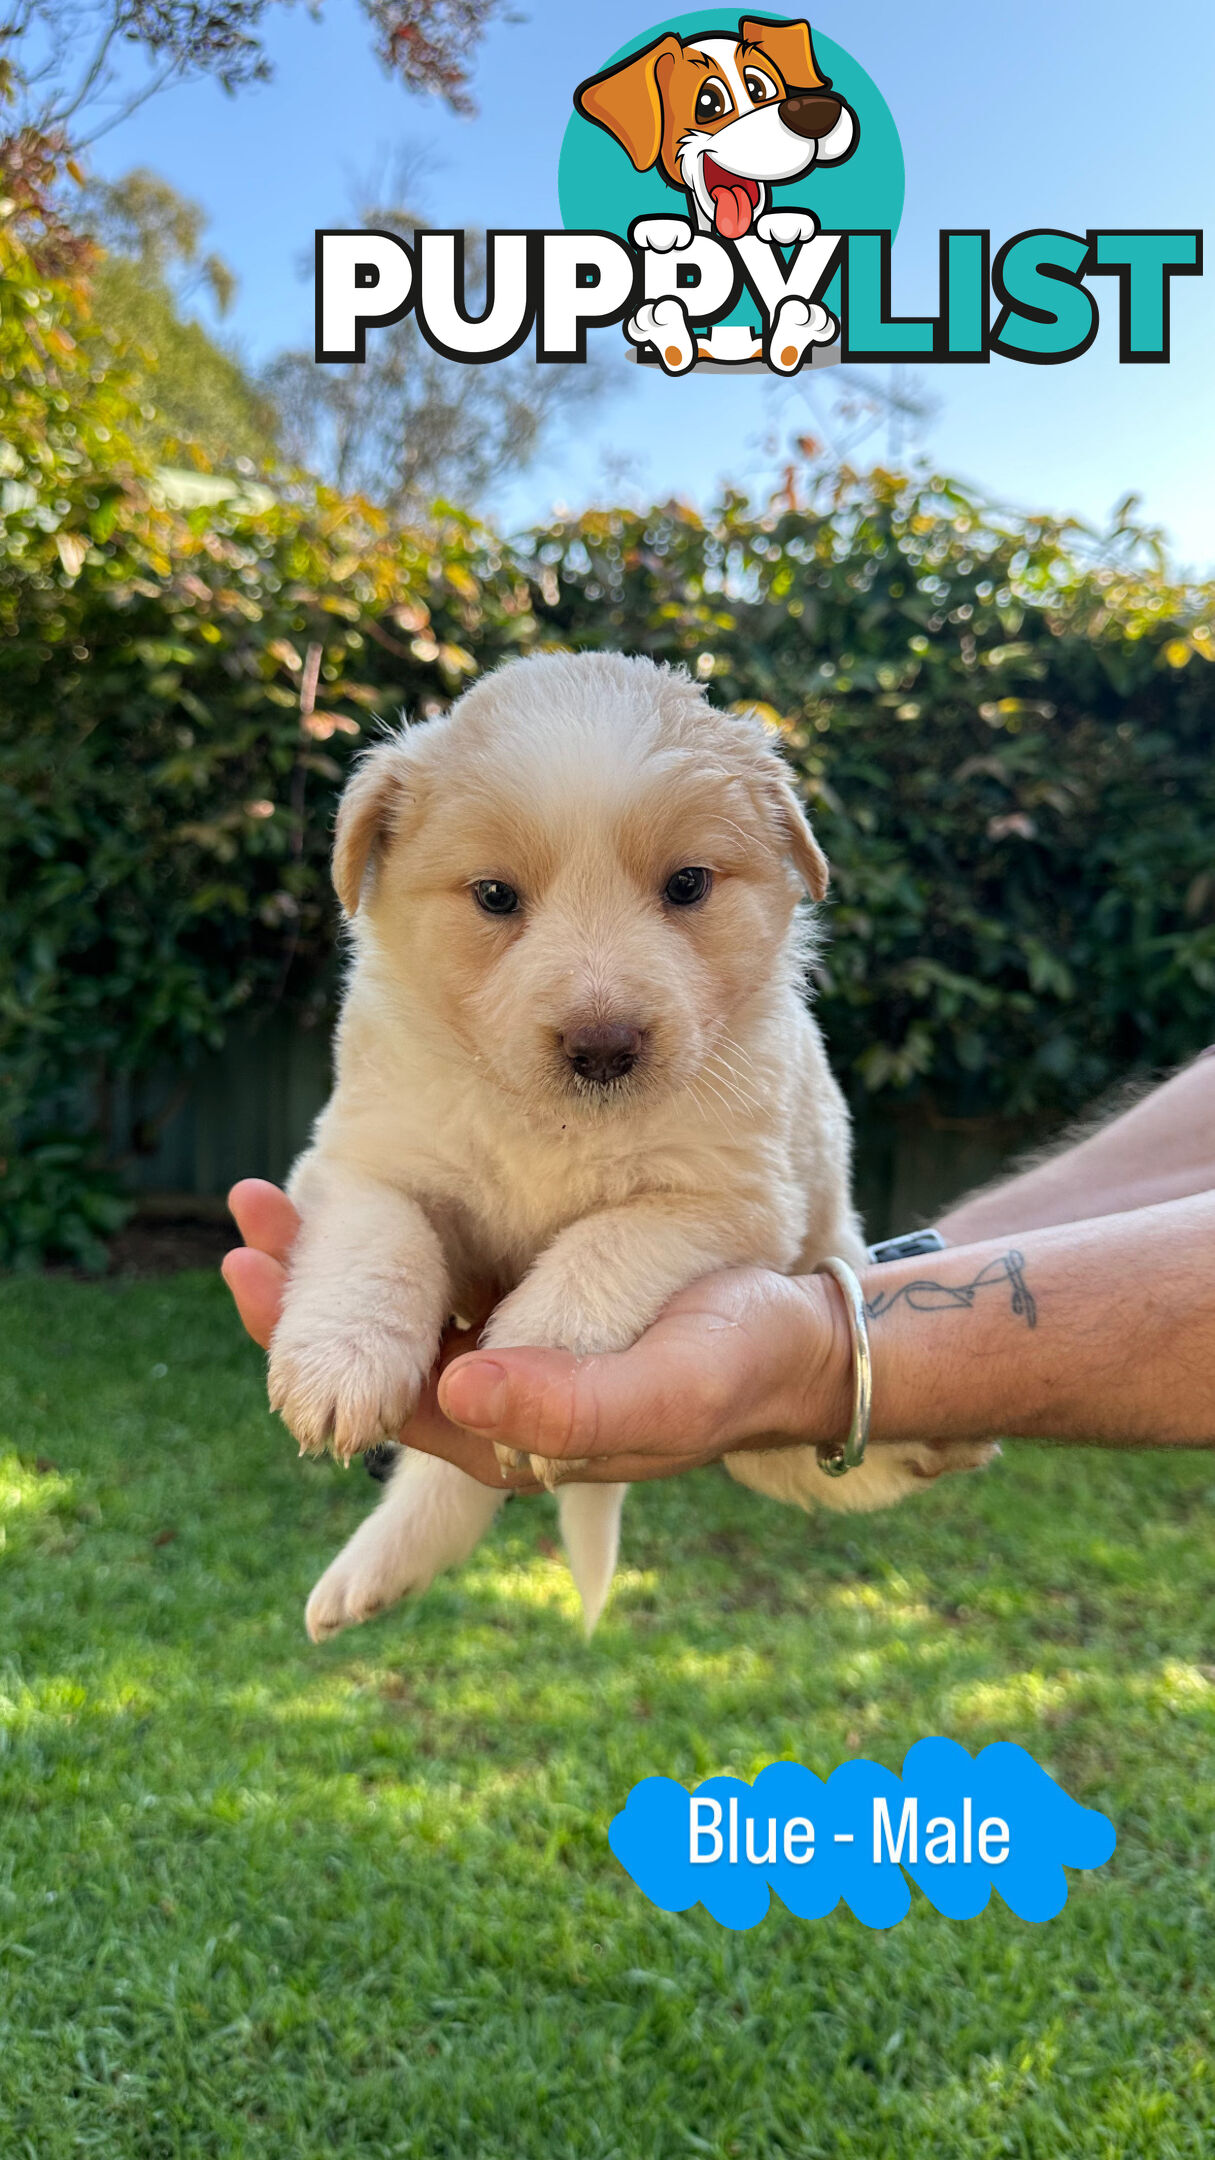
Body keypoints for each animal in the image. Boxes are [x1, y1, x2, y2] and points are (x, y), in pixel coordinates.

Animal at [269, 652, 990, 1632]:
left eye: (686, 886)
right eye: (493, 896)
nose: (603, 1046)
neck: (558, 1121)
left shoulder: (729, 1200)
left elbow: (601, 1246)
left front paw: (534, 1350)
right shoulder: (359, 1158)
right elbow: (380, 1245)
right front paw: (340, 1366)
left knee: (792, 1454)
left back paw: (919, 1448)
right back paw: (369, 1577)